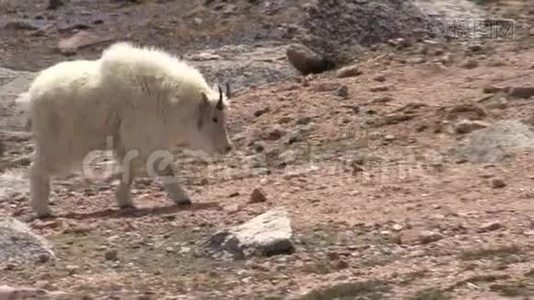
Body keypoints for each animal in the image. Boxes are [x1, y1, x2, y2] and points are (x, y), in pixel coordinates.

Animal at [26, 42, 232, 218]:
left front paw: (125, 202)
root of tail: (33, 96)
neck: (173, 101)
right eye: (214, 118)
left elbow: (129, 170)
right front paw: (183, 199)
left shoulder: (128, 144)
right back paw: (43, 210)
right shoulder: (147, 140)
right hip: (61, 144)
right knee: (37, 169)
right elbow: (165, 170)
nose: (227, 147)